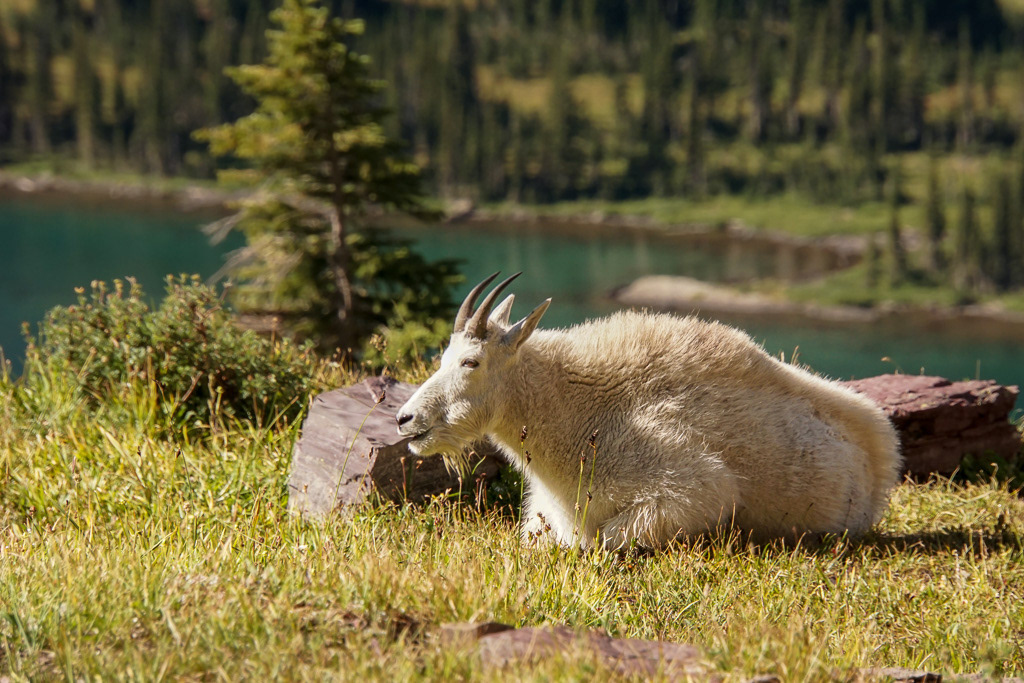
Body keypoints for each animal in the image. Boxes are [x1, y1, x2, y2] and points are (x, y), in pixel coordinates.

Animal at [396, 272, 901, 549]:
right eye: (443, 357)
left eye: (471, 362)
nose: (406, 420)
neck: (578, 411)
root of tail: (883, 452)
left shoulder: (695, 490)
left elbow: (602, 540)